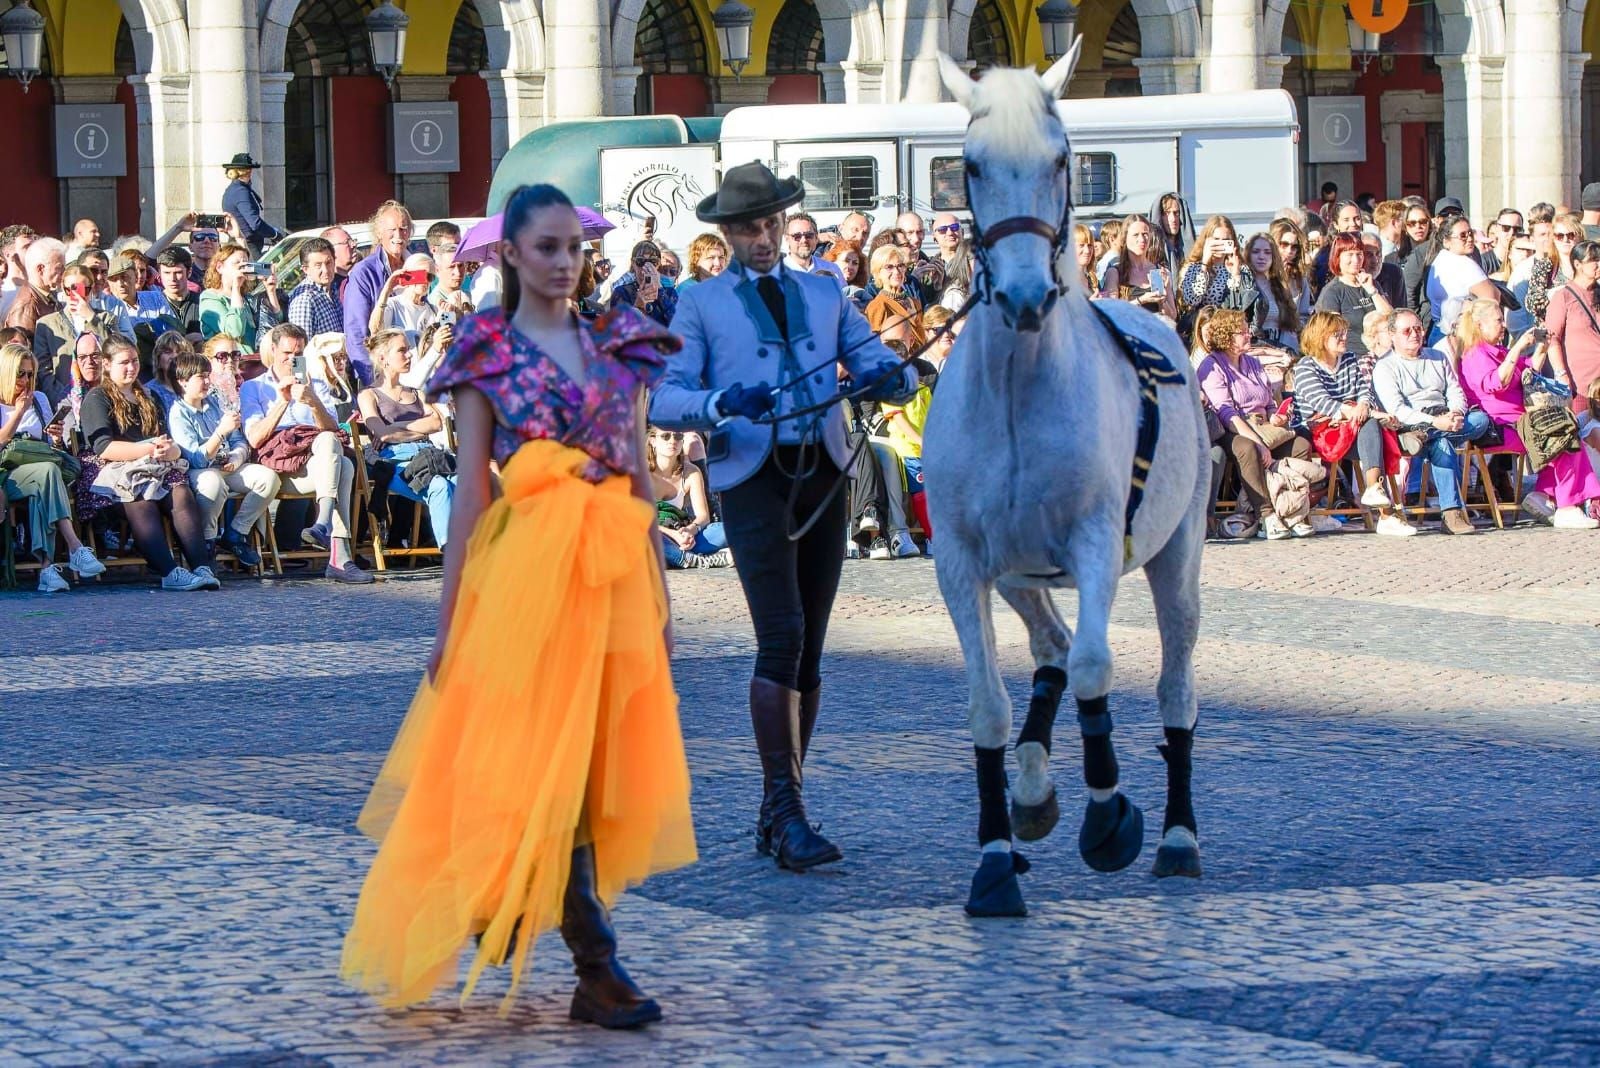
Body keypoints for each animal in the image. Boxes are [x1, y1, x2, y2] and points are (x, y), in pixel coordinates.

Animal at [928, 43, 1209, 920]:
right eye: (970, 166)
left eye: (1061, 160)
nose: (1023, 297)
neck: (1020, 391)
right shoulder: (962, 562)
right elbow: (989, 706)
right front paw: (994, 858)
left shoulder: (1093, 545)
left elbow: (1093, 668)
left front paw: (1109, 815)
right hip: (1020, 573)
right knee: (1047, 648)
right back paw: (1030, 791)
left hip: (1175, 558)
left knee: (1173, 689)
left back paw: (1177, 839)